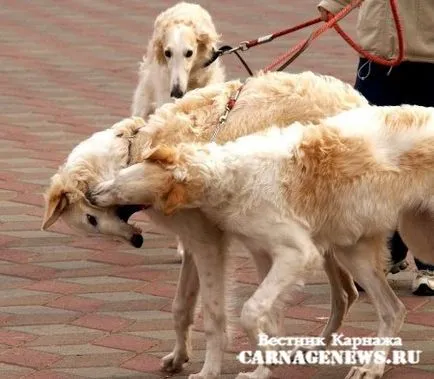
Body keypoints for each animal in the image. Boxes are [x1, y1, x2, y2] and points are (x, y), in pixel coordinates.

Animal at [41, 71, 370, 379]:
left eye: (91, 218)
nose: (136, 242)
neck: (137, 148)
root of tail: (361, 103)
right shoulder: (193, 243)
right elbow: (181, 307)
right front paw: (178, 357)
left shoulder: (209, 245)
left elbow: (213, 315)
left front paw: (210, 369)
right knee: (346, 293)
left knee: (345, 291)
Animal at [88, 105, 434, 379]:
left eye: (120, 184)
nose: (91, 193)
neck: (231, 175)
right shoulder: (263, 253)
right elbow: (269, 318)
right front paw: (264, 366)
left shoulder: (297, 253)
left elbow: (250, 311)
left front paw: (258, 364)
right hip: (355, 250)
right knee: (392, 310)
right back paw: (370, 367)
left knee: (387, 307)